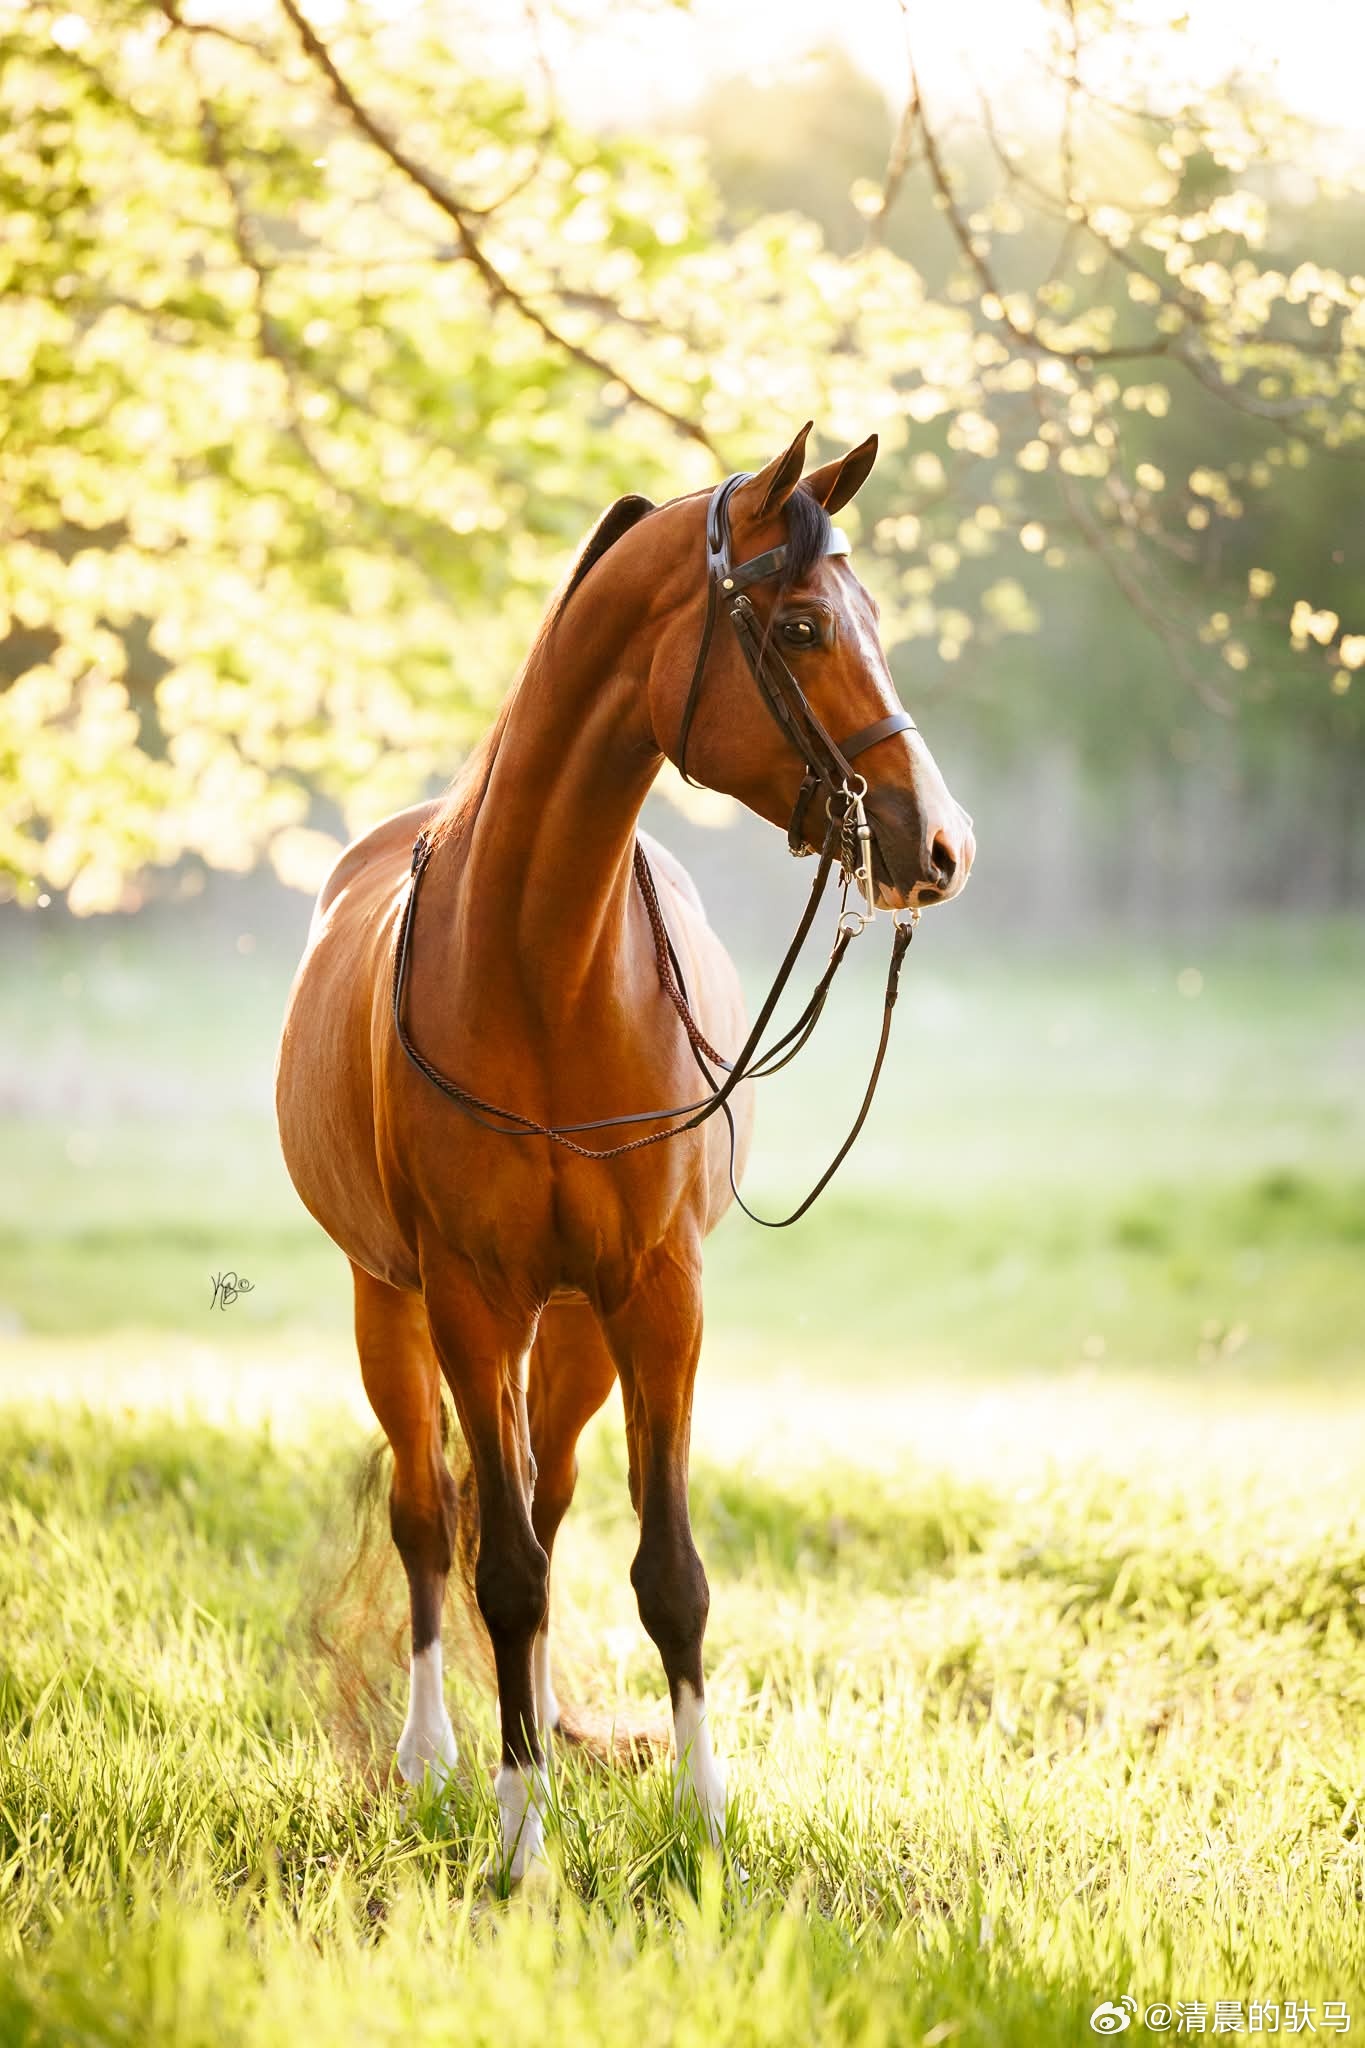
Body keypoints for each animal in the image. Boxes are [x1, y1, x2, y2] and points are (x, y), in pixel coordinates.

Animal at [275, 422, 974, 1879]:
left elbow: (666, 1572)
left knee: (539, 1507)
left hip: (577, 1332)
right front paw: (517, 1843)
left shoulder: (656, 1296)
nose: (937, 844)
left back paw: (531, 1723)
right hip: (393, 1306)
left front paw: (705, 1827)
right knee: (433, 1522)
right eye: (805, 623)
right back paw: (436, 1754)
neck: (544, 964)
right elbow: (495, 1570)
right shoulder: (470, 1300)